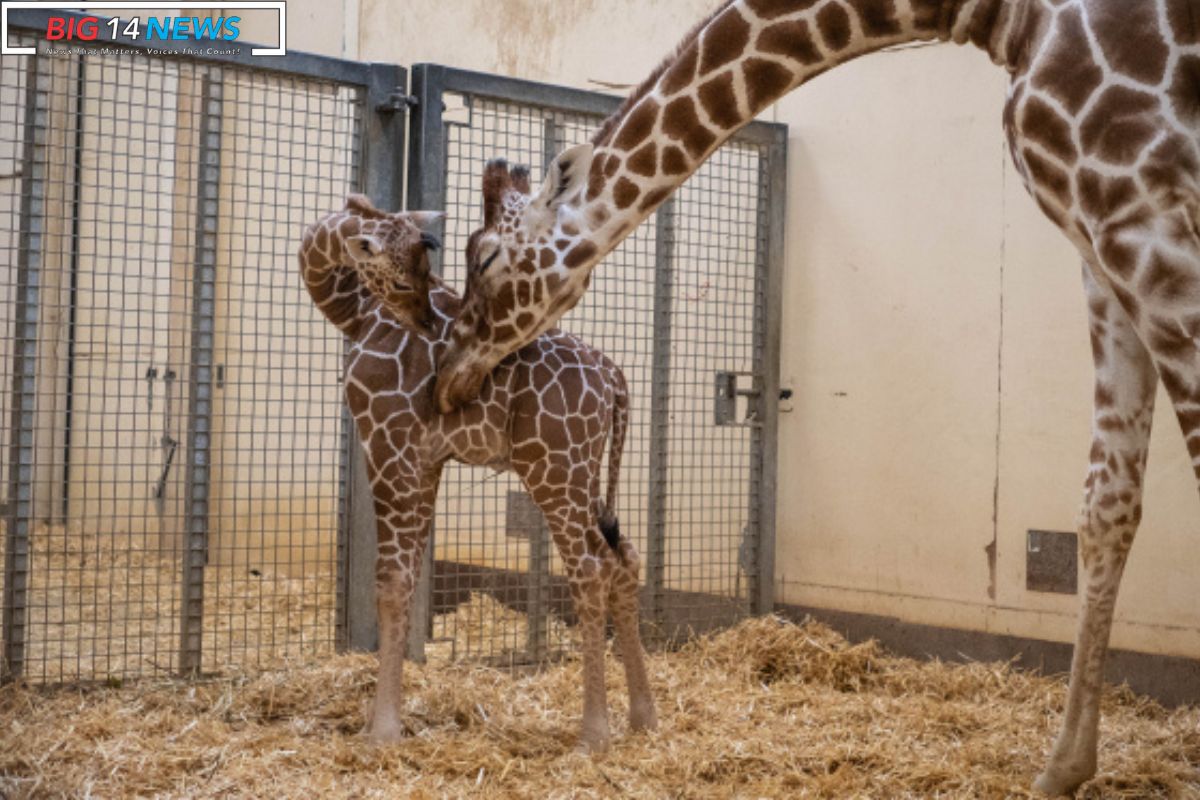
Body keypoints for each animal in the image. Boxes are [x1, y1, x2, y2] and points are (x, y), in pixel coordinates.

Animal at [298, 175, 657, 753]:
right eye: (404, 278)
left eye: (420, 275)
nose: (427, 323)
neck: (355, 314)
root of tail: (615, 379)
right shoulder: (425, 459)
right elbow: (408, 579)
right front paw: (387, 722)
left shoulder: (387, 444)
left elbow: (390, 582)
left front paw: (382, 731)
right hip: (587, 470)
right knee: (623, 557)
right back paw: (644, 717)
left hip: (553, 467)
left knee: (589, 566)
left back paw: (593, 735)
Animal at [436, 0, 1200, 796]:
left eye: (484, 255)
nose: (449, 372)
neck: (1000, 19)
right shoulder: (1099, 246)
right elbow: (1106, 507)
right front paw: (1065, 766)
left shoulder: (1139, 210)